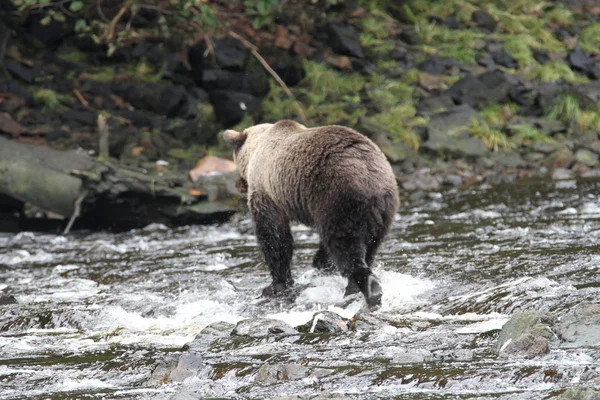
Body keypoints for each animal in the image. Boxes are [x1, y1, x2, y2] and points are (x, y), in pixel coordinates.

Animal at [223, 120, 400, 308]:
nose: (238, 184)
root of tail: (373, 180)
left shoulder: (267, 192)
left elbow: (274, 238)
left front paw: (275, 285)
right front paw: (320, 265)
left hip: (338, 198)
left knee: (345, 245)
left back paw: (367, 289)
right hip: (383, 212)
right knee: (369, 247)